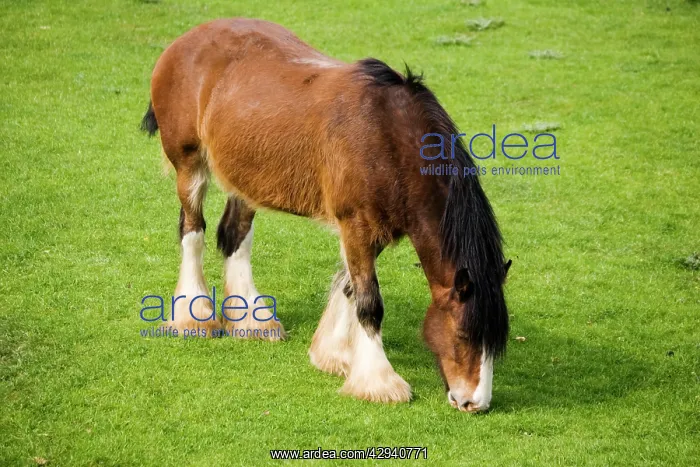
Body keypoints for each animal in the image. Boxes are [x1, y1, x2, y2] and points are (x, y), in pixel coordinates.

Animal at [141, 18, 511, 412]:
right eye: (463, 333)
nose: (475, 402)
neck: (386, 137)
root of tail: (184, 41)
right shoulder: (356, 226)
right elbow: (369, 303)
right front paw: (378, 381)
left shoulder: (372, 231)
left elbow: (350, 287)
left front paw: (334, 355)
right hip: (189, 165)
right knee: (192, 231)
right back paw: (192, 316)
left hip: (245, 179)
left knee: (233, 237)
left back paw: (254, 321)